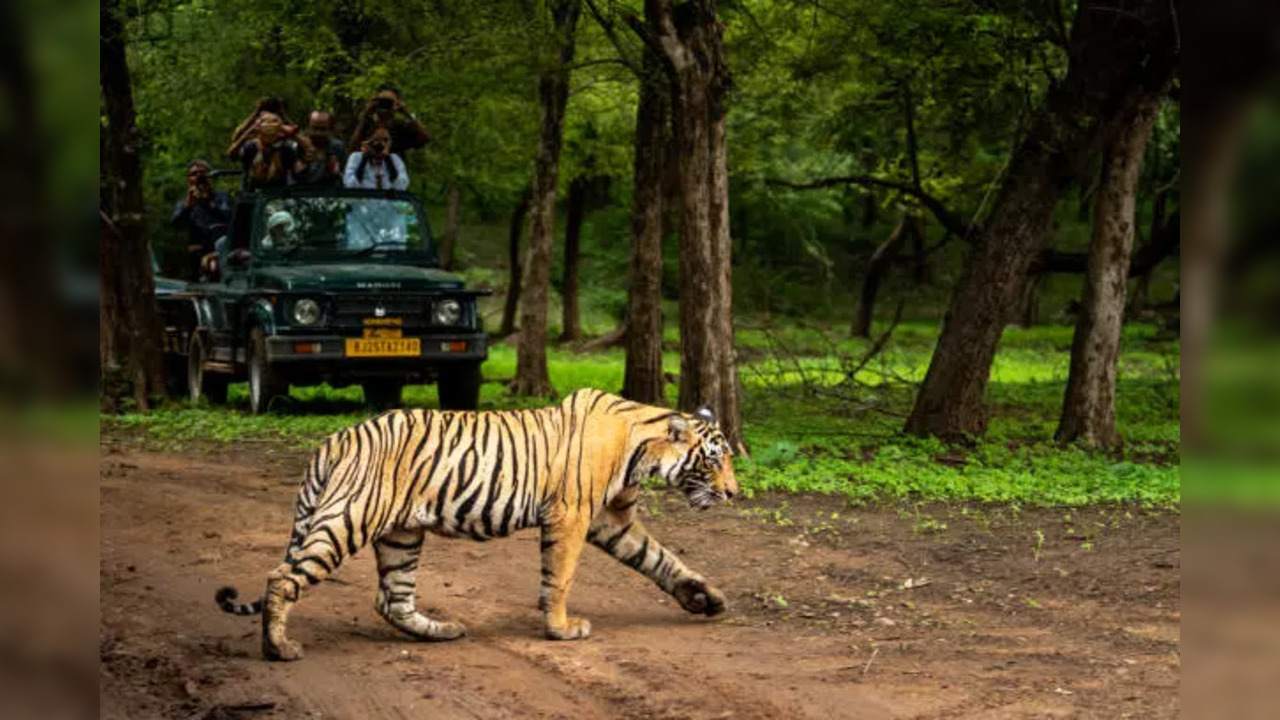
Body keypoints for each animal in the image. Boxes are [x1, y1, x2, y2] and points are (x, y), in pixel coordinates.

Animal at [213, 386, 737, 655]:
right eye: (713, 460)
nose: (733, 492)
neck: (642, 450)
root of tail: (334, 439)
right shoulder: (571, 514)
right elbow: (561, 577)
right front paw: (561, 629)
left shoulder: (611, 518)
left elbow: (660, 559)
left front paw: (705, 598)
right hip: (349, 518)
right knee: (283, 577)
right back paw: (278, 647)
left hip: (402, 534)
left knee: (392, 599)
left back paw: (441, 631)